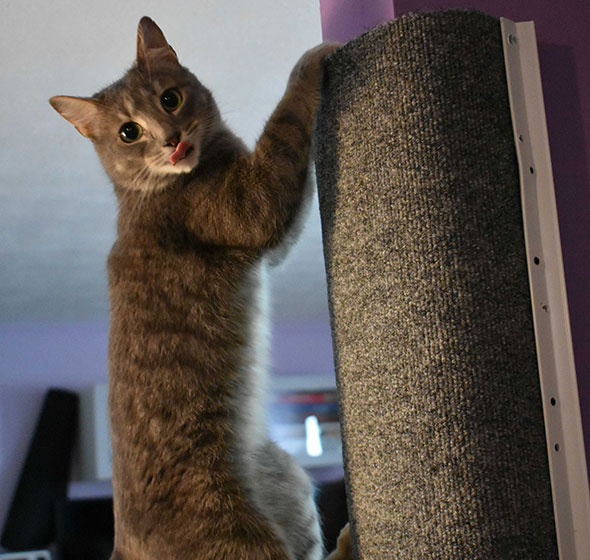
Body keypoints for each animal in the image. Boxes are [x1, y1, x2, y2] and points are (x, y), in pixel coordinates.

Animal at [51, 16, 350, 560]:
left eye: (170, 99)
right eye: (129, 131)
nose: (171, 140)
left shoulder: (271, 243)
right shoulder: (255, 205)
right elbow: (287, 123)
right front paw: (310, 60)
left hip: (289, 480)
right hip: (239, 535)